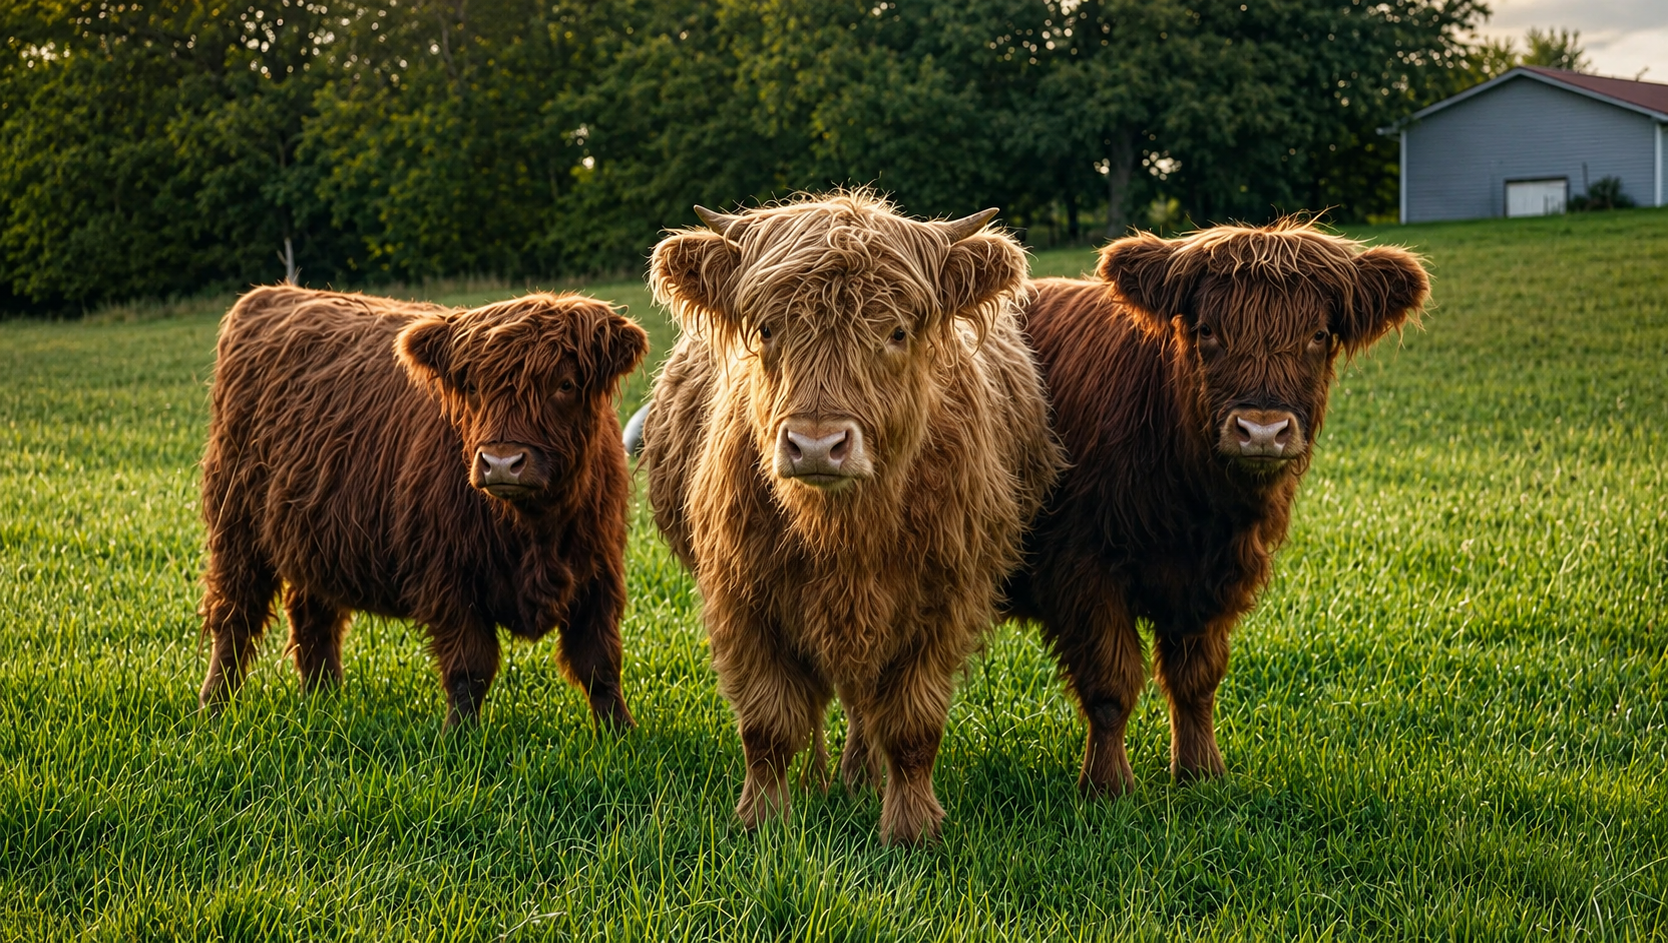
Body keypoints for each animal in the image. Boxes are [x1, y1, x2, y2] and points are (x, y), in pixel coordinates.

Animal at [197, 286, 648, 728]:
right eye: (472, 388)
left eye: (565, 385)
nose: (502, 462)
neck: (533, 529)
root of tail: (272, 295)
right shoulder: (448, 577)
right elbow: (470, 669)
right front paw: (461, 739)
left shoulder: (600, 573)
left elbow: (599, 664)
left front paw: (620, 734)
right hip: (236, 528)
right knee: (235, 619)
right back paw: (215, 706)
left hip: (315, 532)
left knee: (312, 618)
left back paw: (325, 701)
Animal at [638, 193, 1063, 844]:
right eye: (768, 328)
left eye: (897, 331)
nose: (816, 445)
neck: (843, 535)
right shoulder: (742, 598)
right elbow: (768, 726)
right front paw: (762, 821)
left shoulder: (945, 601)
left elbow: (912, 727)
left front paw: (911, 829)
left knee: (866, 705)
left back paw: (860, 777)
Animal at [1005, 221, 1429, 795]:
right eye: (1207, 330)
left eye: (1318, 334)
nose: (1262, 430)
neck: (1195, 509)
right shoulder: (1082, 567)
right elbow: (1111, 687)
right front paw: (1108, 786)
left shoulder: (1218, 575)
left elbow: (1196, 681)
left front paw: (1201, 772)